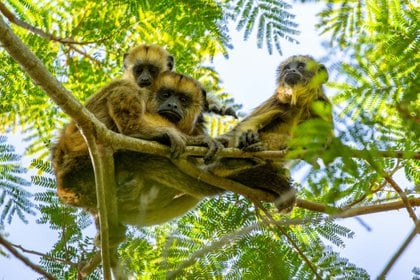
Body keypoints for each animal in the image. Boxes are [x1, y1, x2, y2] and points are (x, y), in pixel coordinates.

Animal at [208, 54, 332, 212]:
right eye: (287, 67)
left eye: (300, 66)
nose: (290, 70)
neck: (301, 103)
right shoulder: (278, 100)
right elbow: (244, 124)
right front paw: (247, 136)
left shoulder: (323, 105)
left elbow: (326, 143)